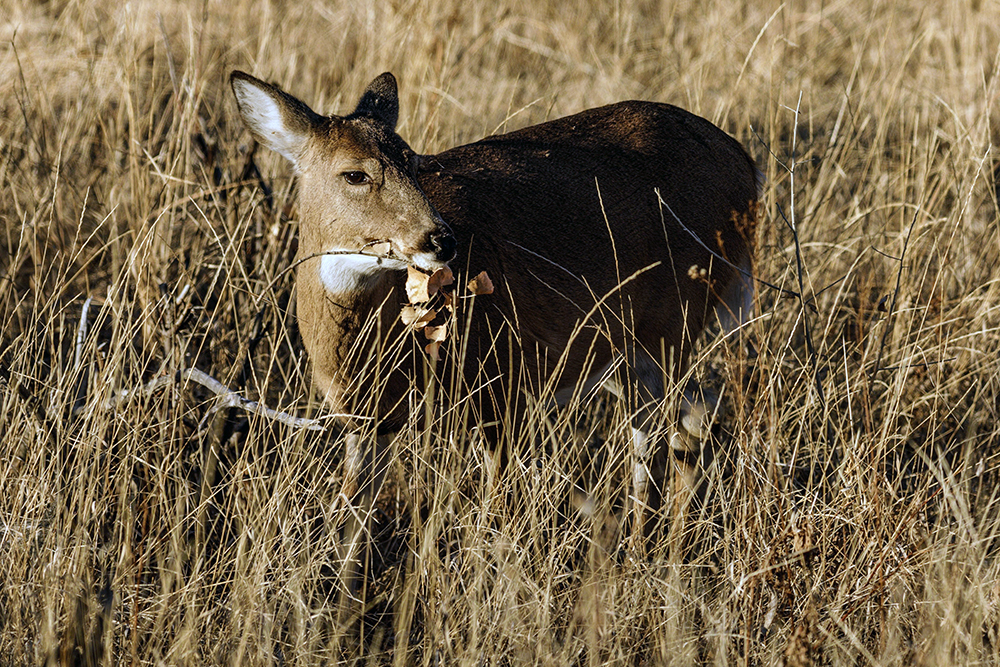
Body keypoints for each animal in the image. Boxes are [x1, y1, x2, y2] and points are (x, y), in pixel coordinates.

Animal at [230, 70, 760, 600]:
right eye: (354, 174)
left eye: (415, 162)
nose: (441, 239)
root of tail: (744, 163)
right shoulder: (367, 417)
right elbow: (353, 520)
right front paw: (344, 603)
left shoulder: (502, 384)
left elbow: (496, 518)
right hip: (622, 349)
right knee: (696, 422)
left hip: (671, 325)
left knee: (666, 441)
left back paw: (643, 561)